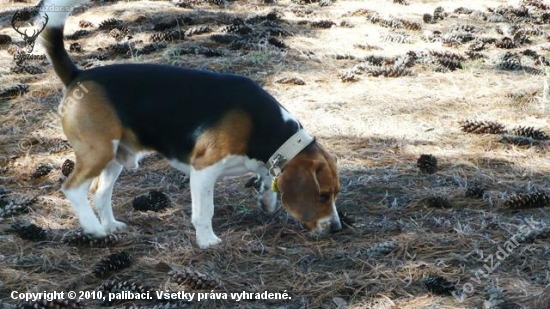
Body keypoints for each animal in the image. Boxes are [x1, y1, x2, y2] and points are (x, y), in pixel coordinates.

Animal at [38, 0, 342, 248]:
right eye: (323, 196)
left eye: (336, 194)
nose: (337, 228)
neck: (267, 131)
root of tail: (78, 75)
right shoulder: (203, 171)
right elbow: (205, 211)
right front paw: (207, 240)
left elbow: (267, 181)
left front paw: (267, 200)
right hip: (98, 151)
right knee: (73, 189)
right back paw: (94, 229)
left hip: (115, 155)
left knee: (99, 193)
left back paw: (110, 225)